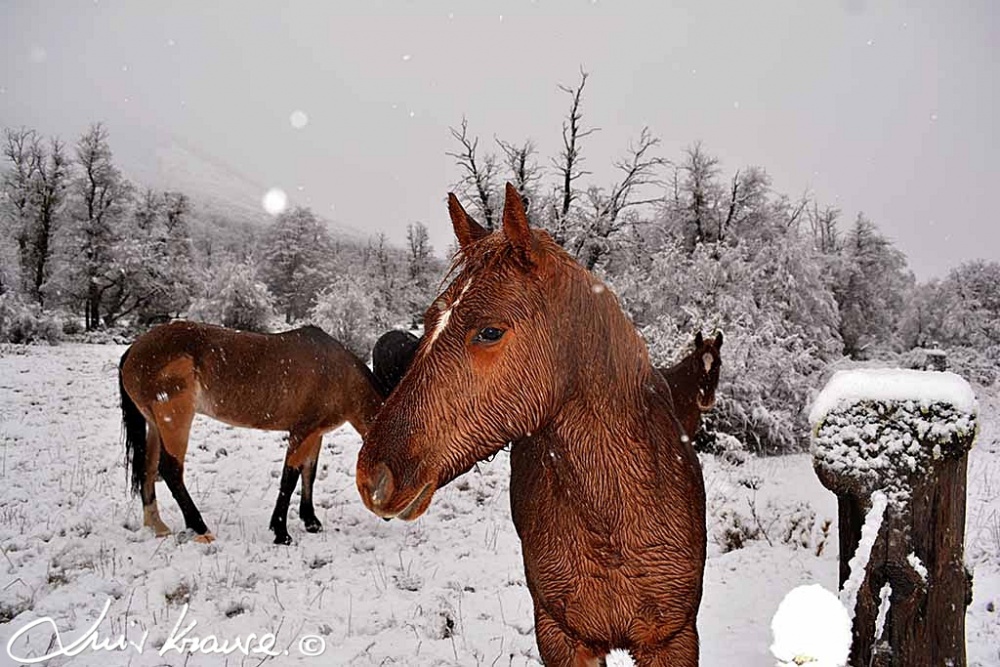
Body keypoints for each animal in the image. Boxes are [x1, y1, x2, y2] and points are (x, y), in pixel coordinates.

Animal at [118, 320, 382, 544]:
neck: (339, 373)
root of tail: (133, 349)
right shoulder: (302, 432)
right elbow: (290, 478)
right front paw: (281, 532)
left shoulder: (315, 434)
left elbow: (309, 473)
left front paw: (311, 522)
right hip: (174, 421)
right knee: (171, 471)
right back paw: (201, 530)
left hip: (155, 425)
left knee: (148, 468)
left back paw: (157, 527)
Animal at [356, 185, 708, 664]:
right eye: (428, 321)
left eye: (489, 332)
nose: (373, 476)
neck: (611, 520)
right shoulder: (560, 637)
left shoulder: (673, 640)